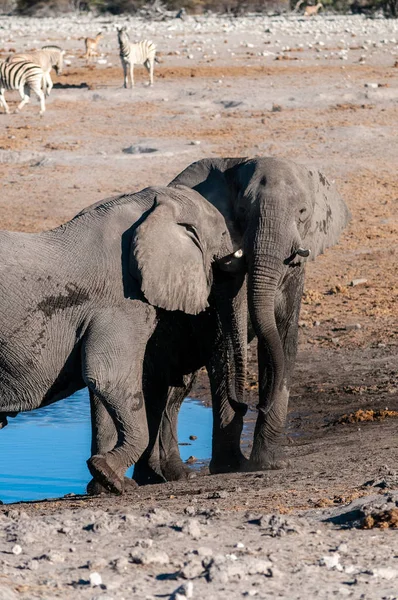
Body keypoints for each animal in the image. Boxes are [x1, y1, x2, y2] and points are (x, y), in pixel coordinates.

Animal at [0, 185, 239, 494]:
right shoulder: (121, 300)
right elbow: (109, 377)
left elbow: (102, 390)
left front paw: (106, 484)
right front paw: (110, 476)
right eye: (222, 233)